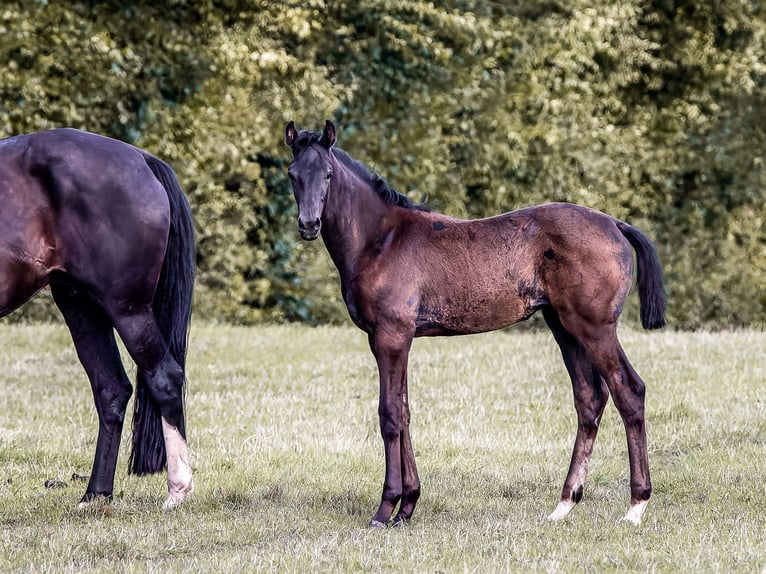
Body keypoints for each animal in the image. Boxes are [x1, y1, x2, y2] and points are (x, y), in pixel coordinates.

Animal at [0, 128, 195, 509]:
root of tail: (141, 159)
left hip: (127, 308)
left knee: (163, 377)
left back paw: (177, 491)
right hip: (81, 305)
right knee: (112, 389)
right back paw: (95, 495)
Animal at [285, 119, 666, 527]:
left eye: (327, 173)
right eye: (292, 174)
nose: (308, 224)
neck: (381, 240)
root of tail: (615, 223)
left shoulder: (390, 336)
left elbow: (389, 415)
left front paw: (385, 509)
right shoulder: (398, 339)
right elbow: (404, 412)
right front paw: (408, 506)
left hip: (594, 327)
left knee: (629, 390)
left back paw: (636, 506)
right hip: (564, 327)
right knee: (590, 399)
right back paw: (564, 504)